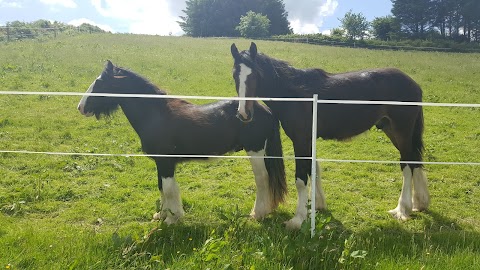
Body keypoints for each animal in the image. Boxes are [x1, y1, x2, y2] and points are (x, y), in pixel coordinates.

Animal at [75, 60, 284, 224]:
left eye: (100, 83)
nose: (81, 107)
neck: (155, 115)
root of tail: (264, 109)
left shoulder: (166, 163)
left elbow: (168, 189)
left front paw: (172, 219)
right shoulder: (161, 163)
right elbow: (162, 187)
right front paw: (161, 215)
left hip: (255, 150)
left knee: (262, 179)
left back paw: (258, 213)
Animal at [231, 42, 430, 230]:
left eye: (255, 75)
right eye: (235, 75)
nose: (244, 114)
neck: (295, 93)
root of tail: (413, 83)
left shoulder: (300, 141)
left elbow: (301, 179)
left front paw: (297, 219)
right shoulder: (308, 140)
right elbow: (314, 169)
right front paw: (316, 205)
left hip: (402, 131)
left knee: (407, 164)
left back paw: (402, 209)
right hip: (393, 131)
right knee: (414, 159)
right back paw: (419, 203)